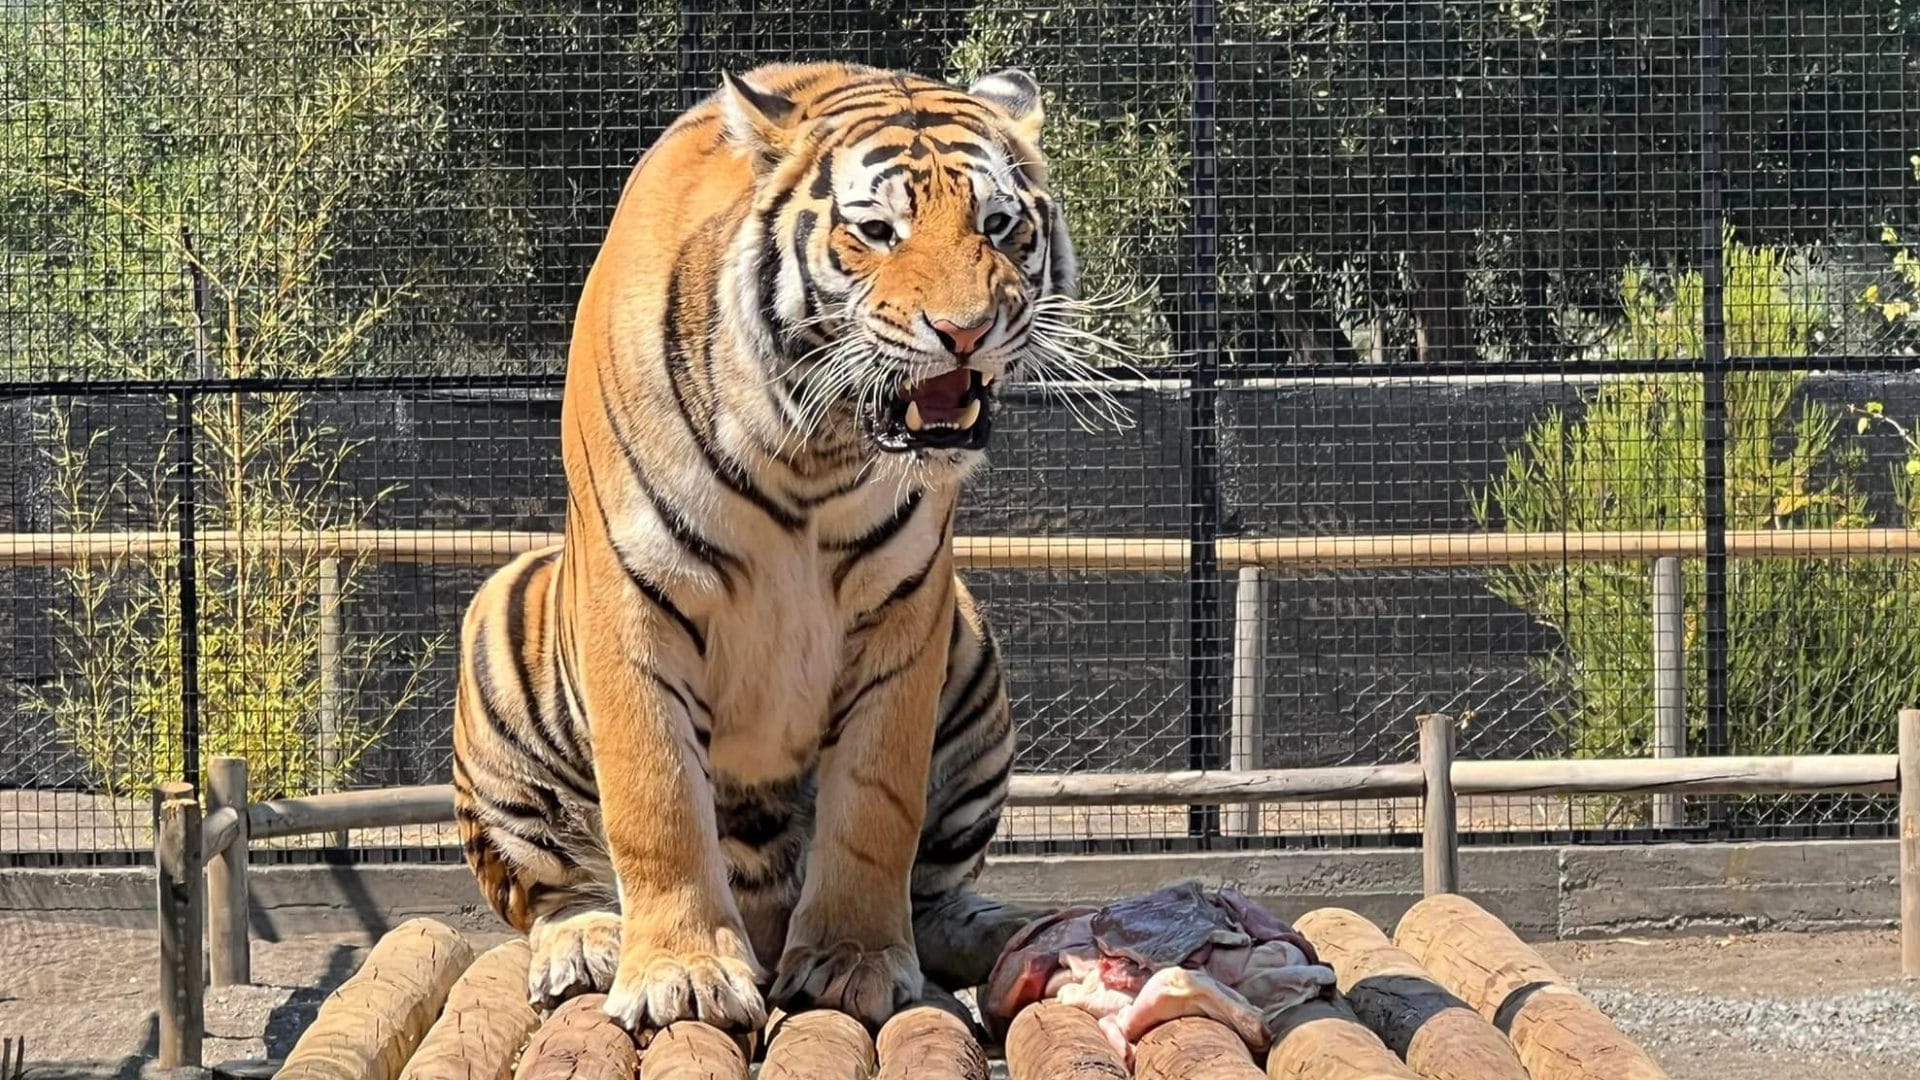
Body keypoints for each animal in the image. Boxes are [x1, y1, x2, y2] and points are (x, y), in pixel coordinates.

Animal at [450, 62, 1083, 1036]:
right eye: (876, 231)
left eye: (998, 225)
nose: (966, 331)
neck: (814, 448)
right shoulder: (632, 592)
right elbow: (656, 797)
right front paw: (680, 975)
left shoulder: (908, 605)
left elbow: (877, 806)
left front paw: (854, 962)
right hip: (501, 627)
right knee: (550, 888)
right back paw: (587, 943)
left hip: (973, 654)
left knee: (937, 898)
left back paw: (1023, 933)